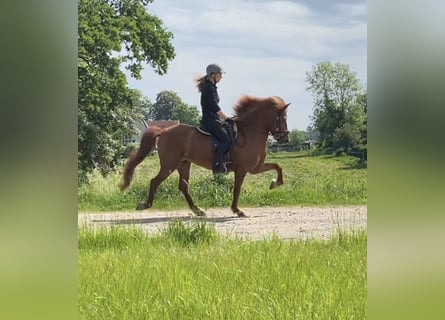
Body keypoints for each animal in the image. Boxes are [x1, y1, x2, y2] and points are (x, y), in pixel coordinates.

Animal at [119, 94, 290, 216]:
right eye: (283, 117)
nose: (285, 138)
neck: (249, 132)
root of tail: (164, 131)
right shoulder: (242, 169)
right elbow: (237, 189)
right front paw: (237, 210)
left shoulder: (255, 168)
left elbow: (278, 166)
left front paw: (275, 183)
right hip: (169, 165)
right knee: (155, 182)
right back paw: (145, 205)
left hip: (183, 164)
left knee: (183, 186)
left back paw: (197, 210)